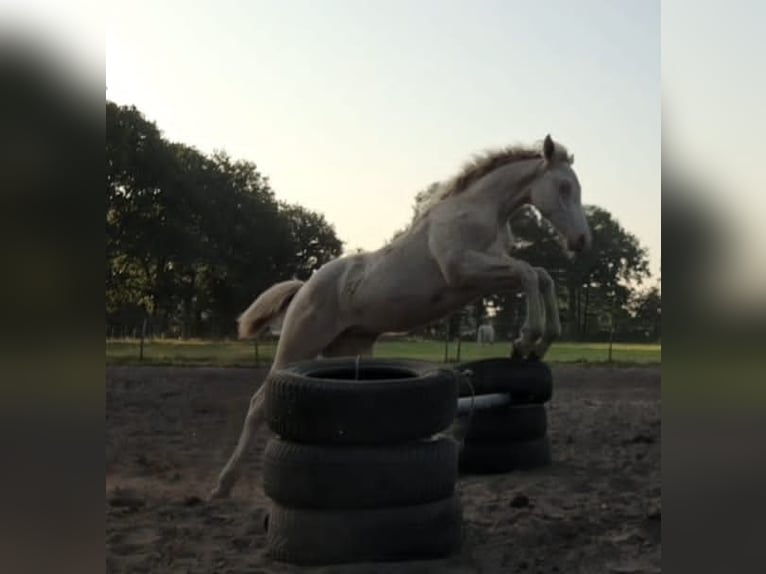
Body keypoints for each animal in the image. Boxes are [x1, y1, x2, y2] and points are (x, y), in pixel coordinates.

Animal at [210, 134, 591, 498]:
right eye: (564, 187)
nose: (581, 240)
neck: (479, 211)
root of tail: (305, 286)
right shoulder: (464, 272)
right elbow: (529, 273)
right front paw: (526, 340)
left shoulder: (486, 276)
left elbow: (540, 276)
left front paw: (538, 344)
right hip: (299, 343)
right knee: (258, 404)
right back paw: (222, 485)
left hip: (347, 350)